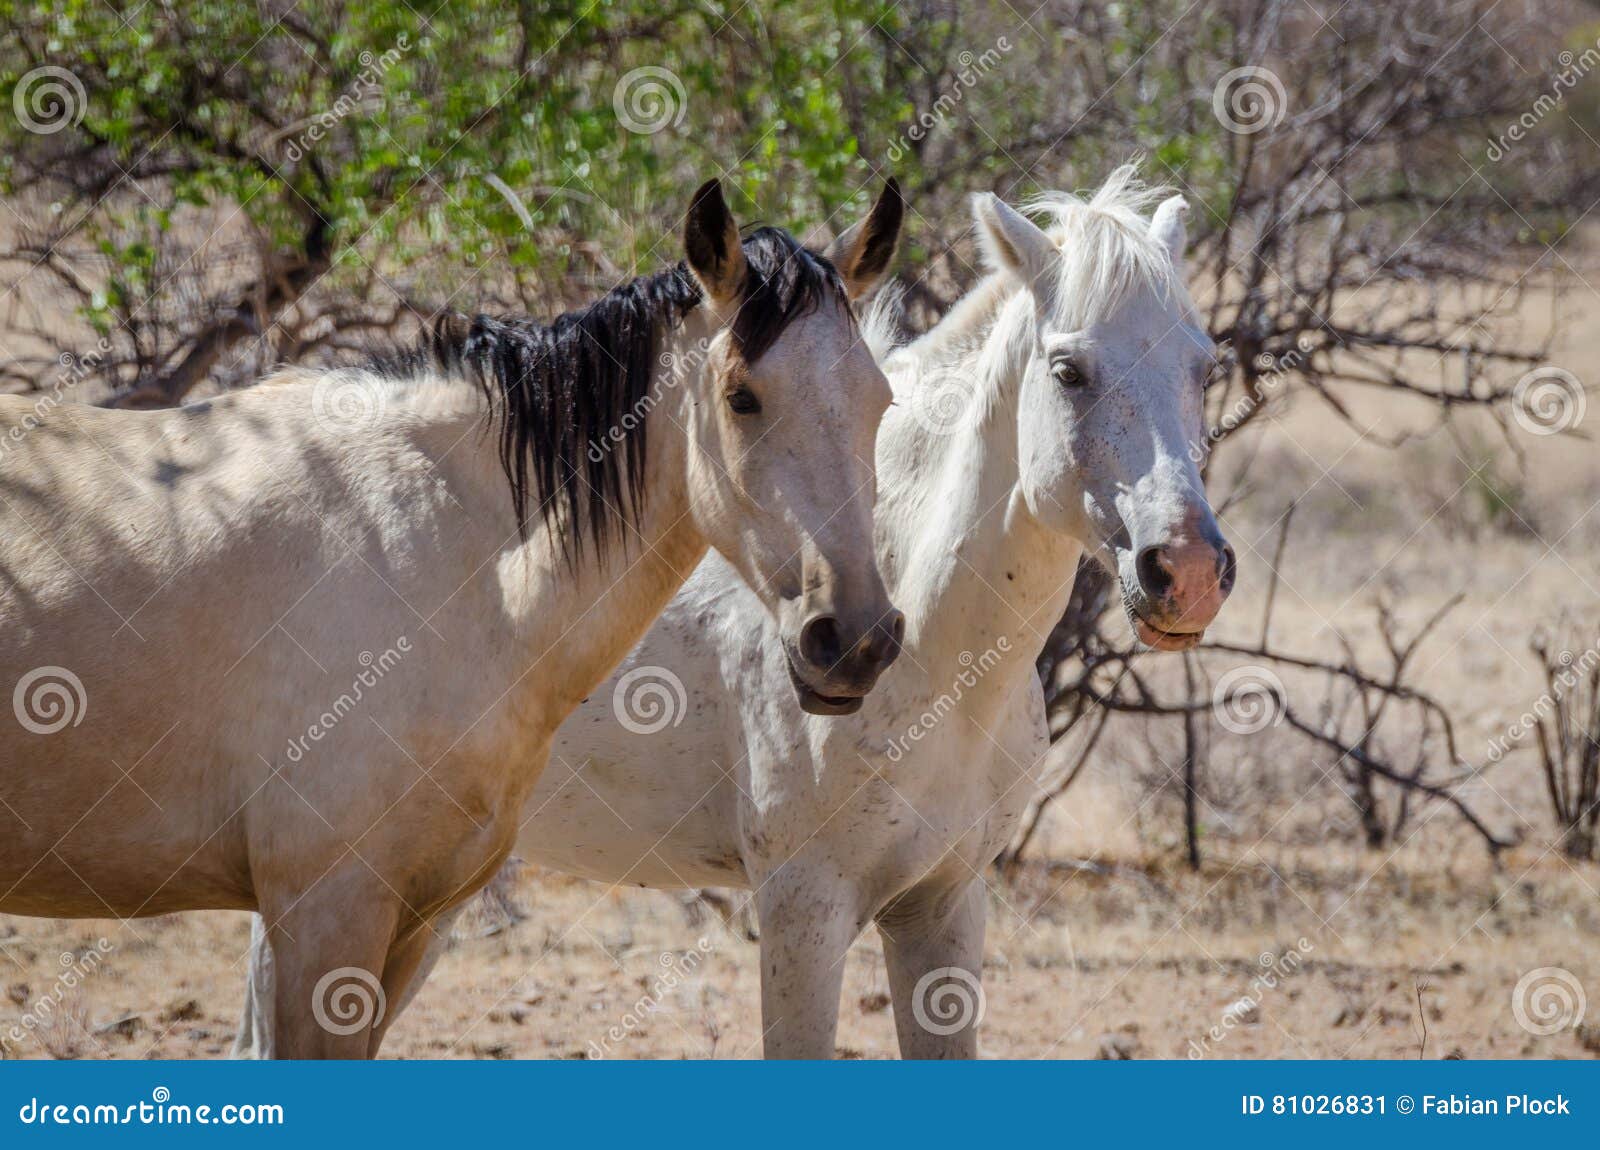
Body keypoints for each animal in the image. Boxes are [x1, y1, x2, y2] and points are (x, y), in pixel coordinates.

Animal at [0, 182, 902, 1062]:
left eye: (880, 400)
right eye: (742, 397)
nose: (856, 640)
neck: (453, 563)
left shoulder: (411, 921)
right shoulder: (324, 914)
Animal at [240, 163, 1235, 1062]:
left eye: (1204, 366)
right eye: (1068, 370)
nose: (1186, 570)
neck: (935, 648)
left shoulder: (946, 907)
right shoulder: (803, 907)